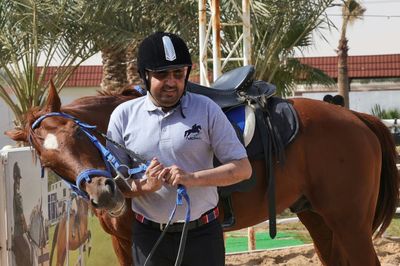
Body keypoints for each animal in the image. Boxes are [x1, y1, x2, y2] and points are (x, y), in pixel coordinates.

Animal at [4, 82, 398, 264]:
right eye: (47, 162)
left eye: (77, 133)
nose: (104, 192)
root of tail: (356, 118)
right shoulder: (125, 244)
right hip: (318, 218)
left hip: (349, 224)